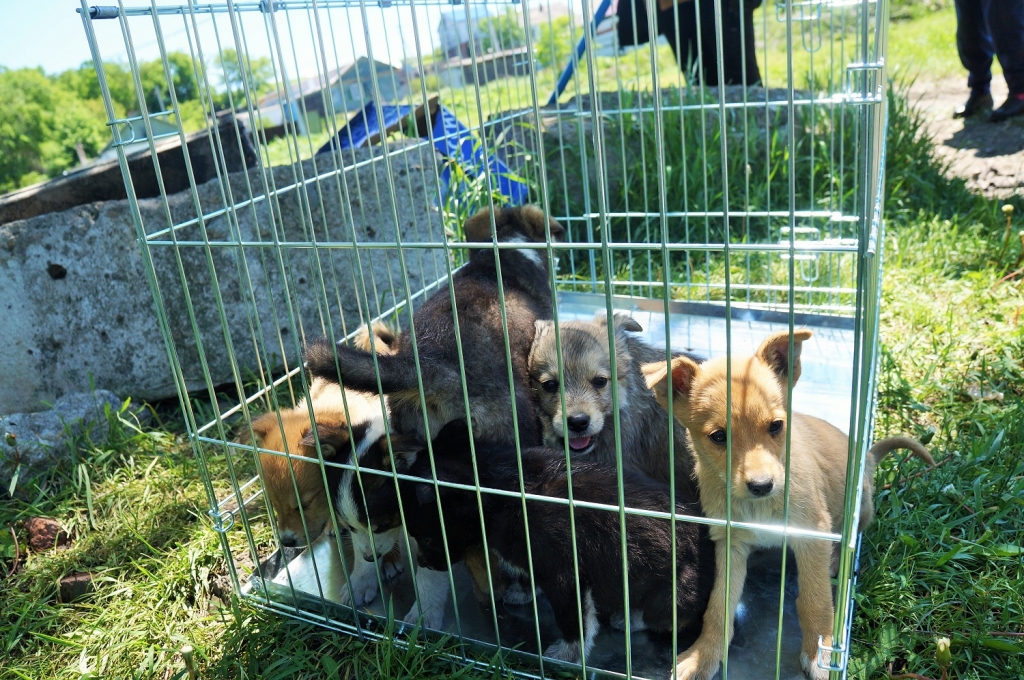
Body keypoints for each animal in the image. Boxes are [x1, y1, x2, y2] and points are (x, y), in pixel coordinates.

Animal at [356, 419, 716, 663]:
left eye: (428, 537)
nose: (424, 563)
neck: (499, 485)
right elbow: (529, 575)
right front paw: (523, 592)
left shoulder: (565, 574)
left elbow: (574, 619)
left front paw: (568, 652)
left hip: (675, 589)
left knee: (671, 616)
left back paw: (630, 617)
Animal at [643, 327, 933, 675]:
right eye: (718, 437)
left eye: (776, 426)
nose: (762, 485)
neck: (758, 507)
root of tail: (869, 458)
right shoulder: (730, 543)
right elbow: (718, 607)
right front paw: (703, 655)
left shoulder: (812, 534)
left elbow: (815, 600)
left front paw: (821, 654)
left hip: (860, 506)